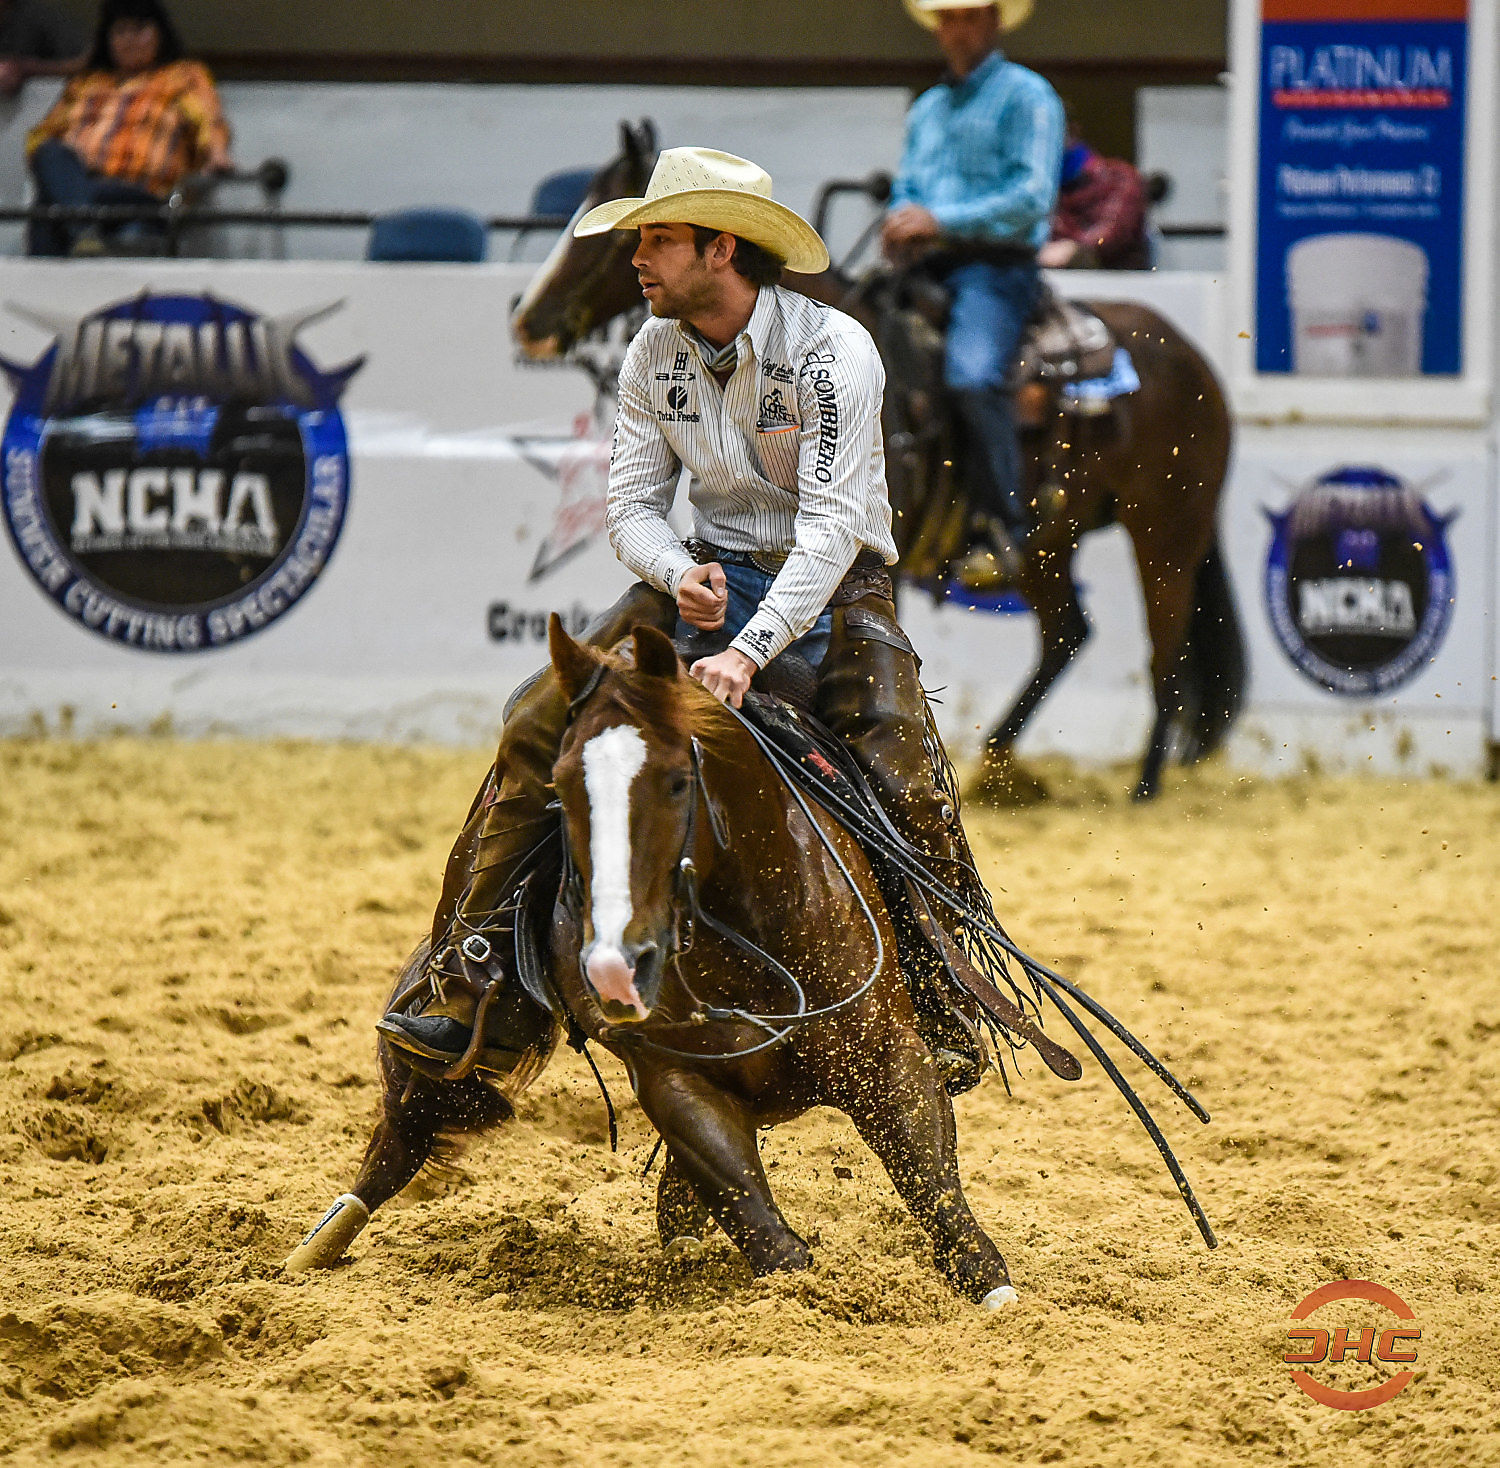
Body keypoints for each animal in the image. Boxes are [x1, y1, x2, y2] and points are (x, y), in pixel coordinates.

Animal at [285, 617, 1214, 1294]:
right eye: (563, 784)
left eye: (676, 779)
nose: (612, 966)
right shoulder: (674, 1081)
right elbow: (767, 1234)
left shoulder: (888, 1056)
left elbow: (937, 1198)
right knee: (407, 1127)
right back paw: (309, 1249)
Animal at [510, 121, 1245, 802]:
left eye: (613, 235)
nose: (527, 321)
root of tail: (1194, 361)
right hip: (1053, 544)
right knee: (1069, 632)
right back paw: (1000, 763)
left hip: (1164, 530)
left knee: (1165, 649)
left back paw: (1144, 784)